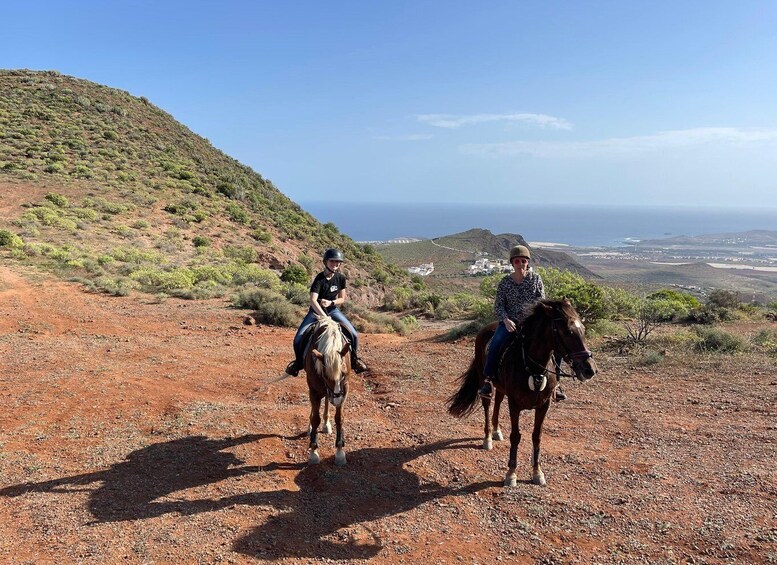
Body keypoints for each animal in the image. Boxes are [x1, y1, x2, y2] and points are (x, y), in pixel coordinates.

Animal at [304, 316, 350, 464]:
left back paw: (326, 424)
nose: (337, 399)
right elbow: (315, 419)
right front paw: (313, 452)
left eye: (343, 373)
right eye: (325, 375)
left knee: (326, 400)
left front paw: (340, 452)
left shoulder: (345, 390)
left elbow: (339, 418)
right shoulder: (313, 390)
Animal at [446, 298, 596, 486]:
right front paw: (511, 473)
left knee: (498, 402)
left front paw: (537, 472)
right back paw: (488, 438)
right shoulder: (515, 405)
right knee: (487, 405)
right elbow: (515, 436)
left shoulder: (544, 405)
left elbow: (537, 436)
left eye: (583, 329)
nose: (590, 369)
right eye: (567, 332)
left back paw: (496, 431)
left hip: (501, 387)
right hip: (483, 380)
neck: (534, 368)